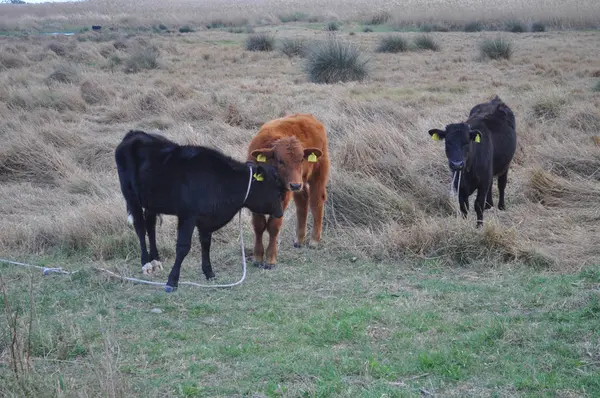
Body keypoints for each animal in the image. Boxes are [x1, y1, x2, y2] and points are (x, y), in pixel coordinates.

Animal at [117, 131, 288, 292]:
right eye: (276, 190)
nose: (280, 213)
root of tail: (134, 134)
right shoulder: (187, 215)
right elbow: (183, 247)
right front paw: (172, 281)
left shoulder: (207, 219)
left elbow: (206, 245)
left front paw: (209, 273)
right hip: (131, 195)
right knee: (140, 226)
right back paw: (146, 263)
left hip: (151, 202)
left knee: (150, 226)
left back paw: (155, 261)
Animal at [248, 112, 332, 268]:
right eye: (281, 161)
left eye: (301, 160)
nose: (294, 185)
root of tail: (308, 117)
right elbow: (259, 225)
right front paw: (257, 256)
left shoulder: (282, 199)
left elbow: (273, 226)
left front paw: (270, 259)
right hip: (302, 182)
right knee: (302, 203)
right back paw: (299, 239)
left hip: (318, 173)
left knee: (316, 201)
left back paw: (314, 240)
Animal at [428, 95, 516, 227]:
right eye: (448, 142)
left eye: (466, 142)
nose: (457, 164)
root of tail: (495, 101)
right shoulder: (459, 185)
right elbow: (463, 206)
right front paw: (464, 224)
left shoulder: (483, 182)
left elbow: (478, 205)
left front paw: (479, 226)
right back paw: (489, 205)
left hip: (505, 164)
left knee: (502, 184)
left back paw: (501, 206)